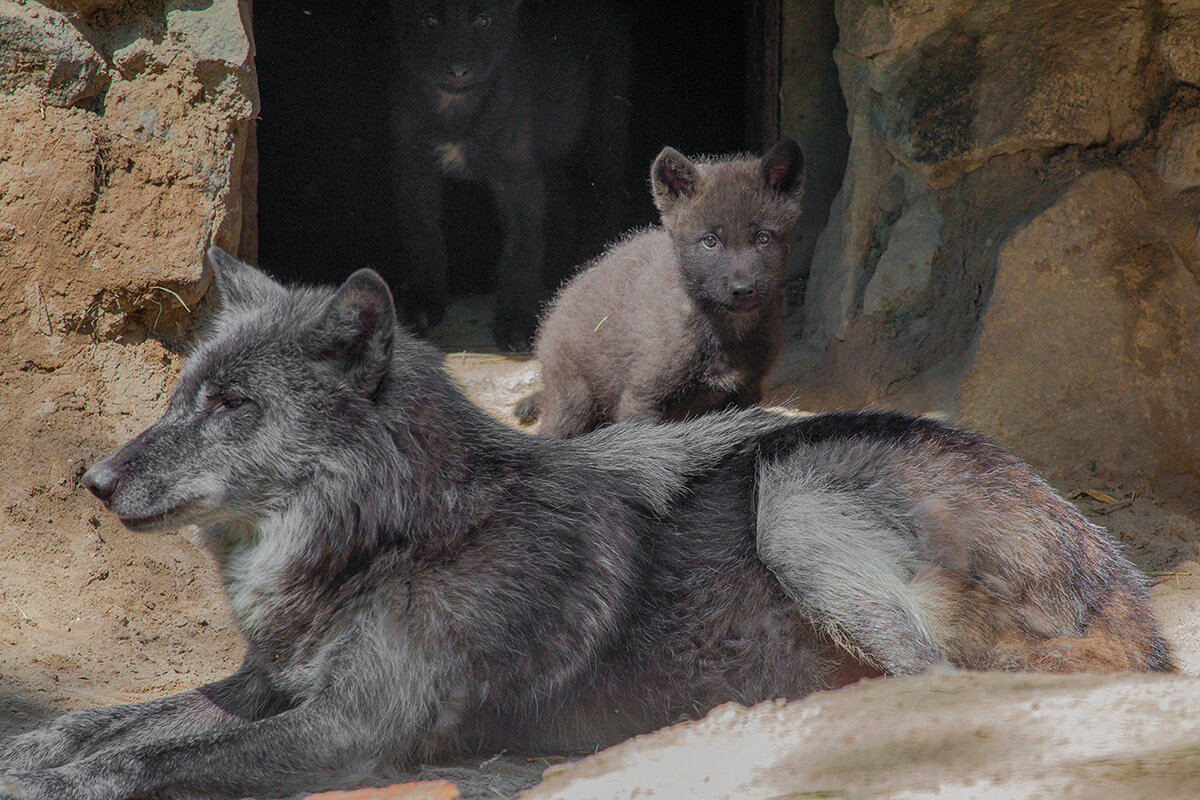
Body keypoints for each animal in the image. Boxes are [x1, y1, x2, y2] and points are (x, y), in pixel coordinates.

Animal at [0, 250, 1166, 800]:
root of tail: (1130, 584)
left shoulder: (353, 730)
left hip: (794, 487)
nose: (93, 479)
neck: (405, 534)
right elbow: (127, 719)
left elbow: (144, 758)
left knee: (936, 684)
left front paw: (64, 775)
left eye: (232, 405)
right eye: (179, 394)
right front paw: (43, 741)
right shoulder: (272, 681)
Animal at [388, 0, 633, 350]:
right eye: (430, 21)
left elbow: (521, 249)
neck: (456, 113)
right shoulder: (413, 168)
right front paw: (423, 303)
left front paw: (517, 322)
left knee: (606, 197)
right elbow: (422, 233)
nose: (459, 69)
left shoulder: (518, 181)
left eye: (484, 20)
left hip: (606, 125)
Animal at [518, 137, 806, 438]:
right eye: (710, 241)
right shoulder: (643, 398)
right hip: (573, 400)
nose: (742, 289)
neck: (724, 330)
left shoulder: (746, 390)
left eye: (763, 237)